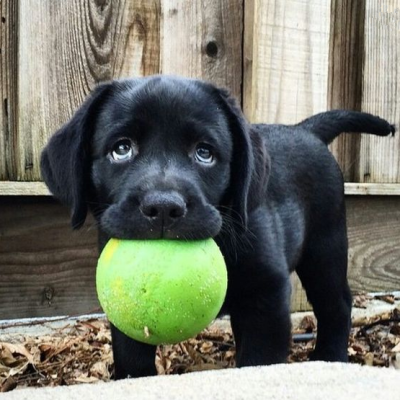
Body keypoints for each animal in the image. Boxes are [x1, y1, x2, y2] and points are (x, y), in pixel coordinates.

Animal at [40, 75, 394, 378]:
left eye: (204, 153)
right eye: (121, 149)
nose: (164, 207)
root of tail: (305, 130)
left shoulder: (267, 295)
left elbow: (260, 360)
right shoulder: (123, 313)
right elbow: (131, 356)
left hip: (325, 248)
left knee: (337, 305)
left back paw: (329, 358)